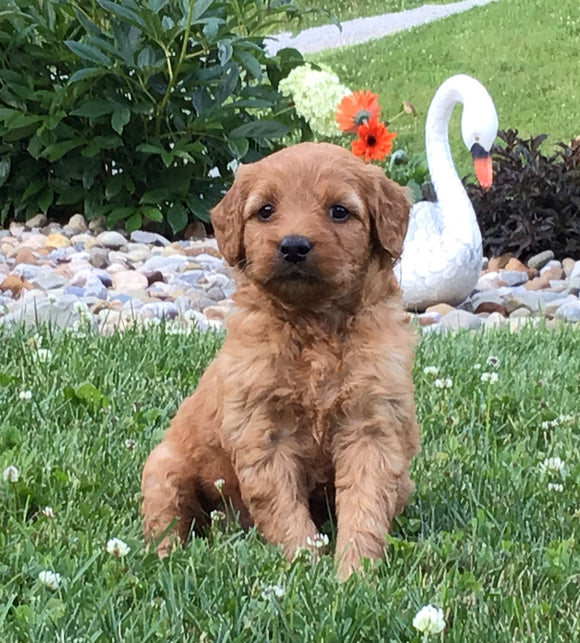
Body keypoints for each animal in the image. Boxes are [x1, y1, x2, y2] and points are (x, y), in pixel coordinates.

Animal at [143, 142, 420, 584]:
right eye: (266, 210)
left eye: (339, 211)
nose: (293, 246)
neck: (313, 326)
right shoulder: (263, 432)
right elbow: (283, 507)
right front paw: (304, 566)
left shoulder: (373, 427)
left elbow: (365, 505)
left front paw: (354, 574)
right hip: (163, 469)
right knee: (166, 523)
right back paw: (168, 558)